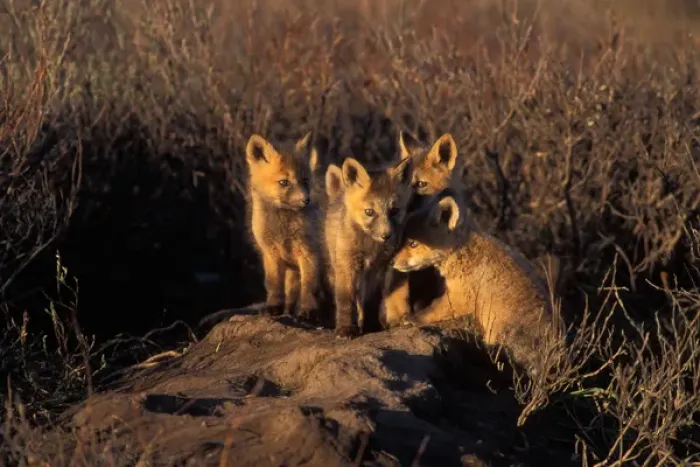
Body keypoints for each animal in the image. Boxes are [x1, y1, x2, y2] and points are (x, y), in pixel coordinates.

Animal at [245, 132, 325, 322]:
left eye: (305, 181)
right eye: (284, 182)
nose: (306, 200)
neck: (283, 230)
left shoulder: (309, 253)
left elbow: (309, 287)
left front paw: (308, 312)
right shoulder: (271, 253)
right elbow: (274, 286)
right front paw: (274, 308)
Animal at [324, 155, 415, 337]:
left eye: (394, 210)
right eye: (369, 212)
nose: (386, 235)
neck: (371, 248)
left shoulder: (382, 267)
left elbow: (376, 301)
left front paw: (372, 327)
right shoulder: (347, 263)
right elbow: (346, 299)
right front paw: (346, 328)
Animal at [390, 189, 565, 373]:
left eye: (413, 244)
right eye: (402, 241)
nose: (392, 262)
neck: (463, 253)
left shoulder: (459, 298)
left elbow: (431, 310)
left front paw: (412, 318)